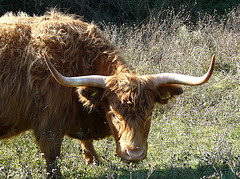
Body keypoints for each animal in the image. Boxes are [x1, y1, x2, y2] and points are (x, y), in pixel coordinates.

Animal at [0, 10, 215, 177]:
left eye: (151, 113)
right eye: (114, 114)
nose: (134, 154)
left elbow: (86, 142)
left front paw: (94, 161)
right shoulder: (48, 125)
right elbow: (52, 161)